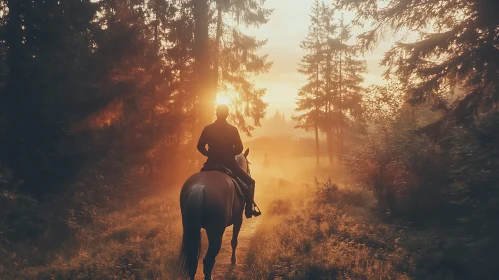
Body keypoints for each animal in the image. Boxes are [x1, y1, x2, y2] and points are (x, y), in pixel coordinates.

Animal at [179, 148, 250, 278]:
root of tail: (199, 187)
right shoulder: (238, 219)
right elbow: (234, 241)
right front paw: (233, 261)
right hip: (215, 232)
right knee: (208, 261)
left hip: (190, 228)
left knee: (192, 261)